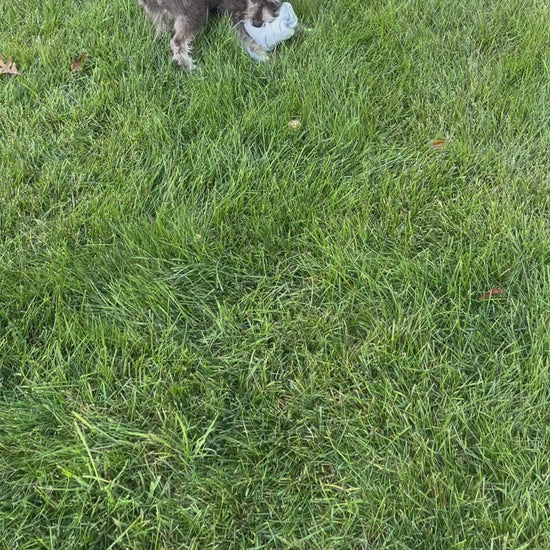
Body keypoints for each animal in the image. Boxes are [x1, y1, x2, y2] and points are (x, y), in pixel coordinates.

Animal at [137, 0, 283, 71]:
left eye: (274, 2)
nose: (257, 23)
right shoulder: (232, 14)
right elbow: (244, 36)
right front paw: (261, 54)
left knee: (161, 28)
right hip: (195, 11)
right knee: (177, 42)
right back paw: (188, 66)